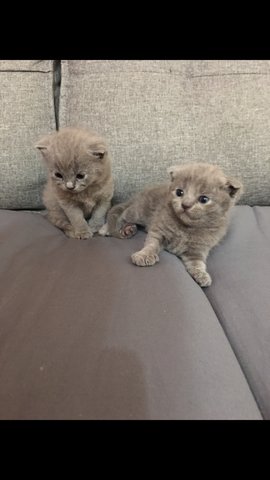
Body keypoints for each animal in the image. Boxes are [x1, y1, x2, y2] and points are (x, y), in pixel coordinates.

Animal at [99, 163, 243, 286]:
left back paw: (129, 229)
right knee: (123, 213)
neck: (186, 227)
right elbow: (151, 244)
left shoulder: (198, 249)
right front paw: (144, 255)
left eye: (204, 199)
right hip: (139, 211)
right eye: (179, 192)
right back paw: (106, 229)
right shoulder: (158, 228)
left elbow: (198, 263)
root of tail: (140, 194)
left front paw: (202, 275)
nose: (185, 205)